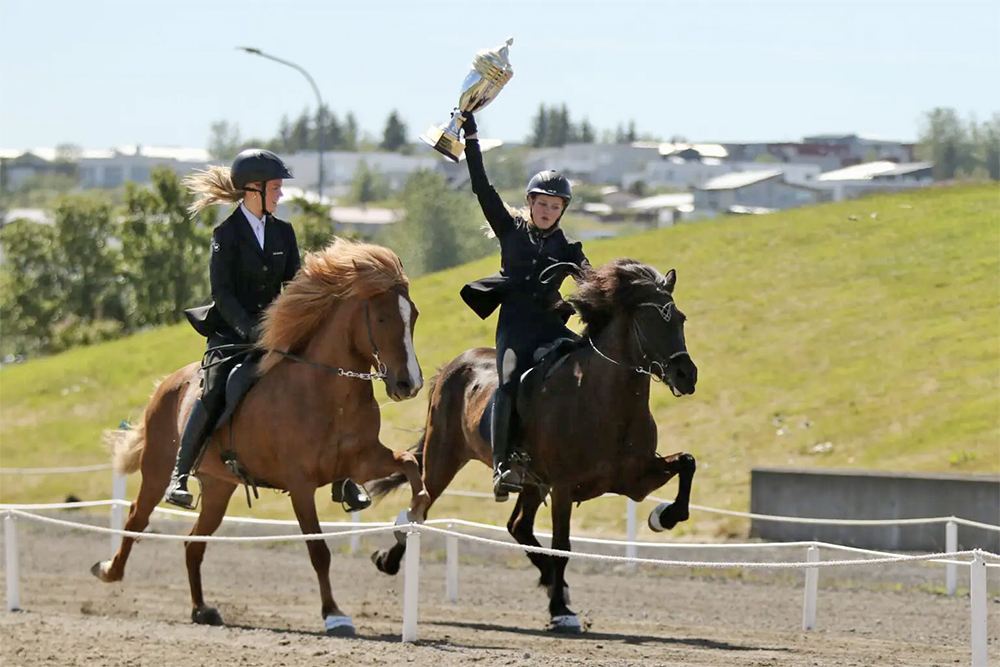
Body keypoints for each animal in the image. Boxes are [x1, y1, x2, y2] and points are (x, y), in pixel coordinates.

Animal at [94, 239, 434, 636]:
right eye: (381, 318)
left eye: (413, 315)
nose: (408, 384)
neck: (328, 392)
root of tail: (166, 384)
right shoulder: (300, 484)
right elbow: (319, 551)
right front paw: (334, 614)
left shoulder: (364, 460)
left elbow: (411, 468)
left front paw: (409, 519)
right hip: (158, 471)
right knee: (136, 518)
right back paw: (109, 570)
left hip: (219, 487)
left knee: (194, 543)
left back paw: (202, 609)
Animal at [372, 258, 700, 636]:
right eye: (649, 321)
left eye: (680, 319)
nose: (686, 375)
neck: (605, 399)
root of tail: (452, 367)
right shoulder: (563, 487)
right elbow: (562, 545)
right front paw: (560, 611)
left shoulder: (635, 478)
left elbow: (687, 462)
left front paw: (664, 516)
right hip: (445, 457)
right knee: (420, 511)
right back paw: (388, 560)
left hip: (530, 481)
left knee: (518, 526)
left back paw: (554, 583)